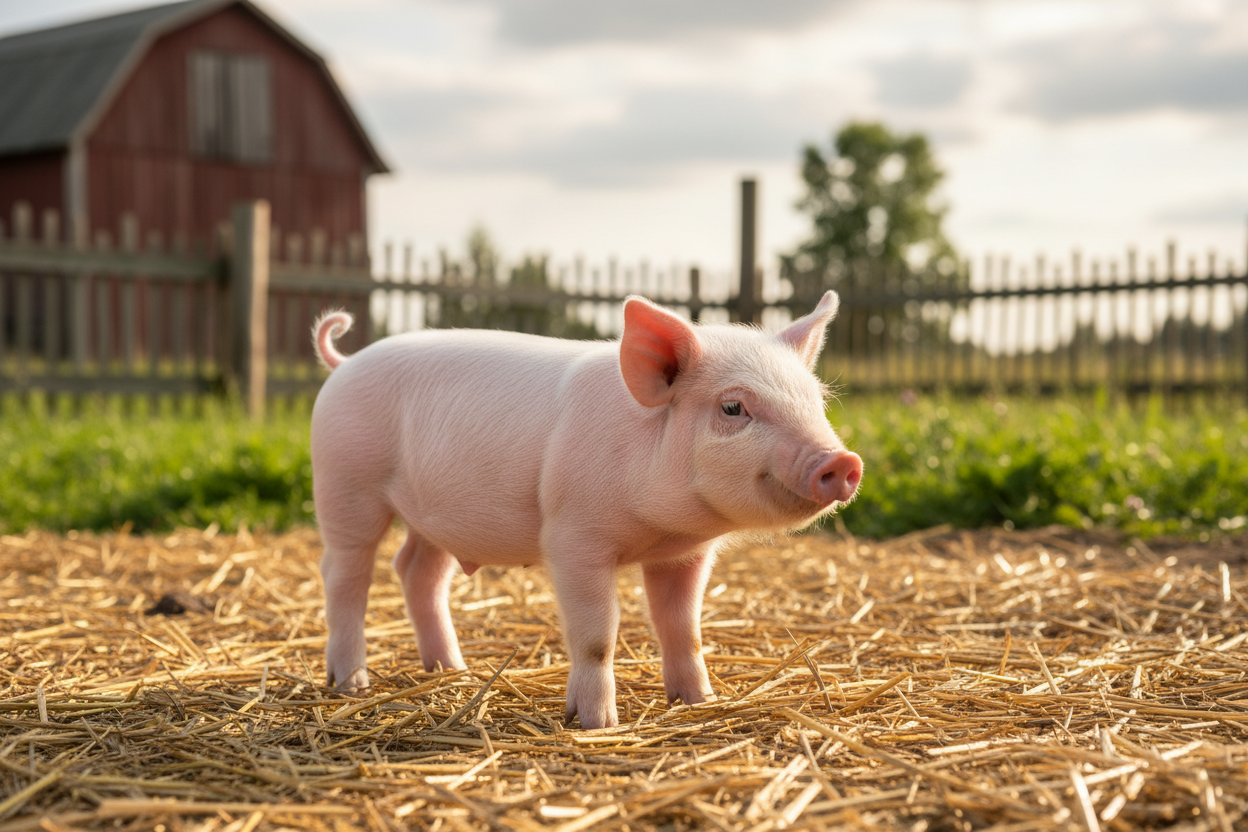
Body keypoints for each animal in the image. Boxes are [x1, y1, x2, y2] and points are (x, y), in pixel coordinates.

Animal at [310, 292, 862, 729]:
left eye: (816, 401)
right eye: (733, 408)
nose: (842, 461)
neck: (659, 527)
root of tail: (344, 363)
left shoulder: (686, 554)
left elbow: (684, 628)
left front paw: (700, 701)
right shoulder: (573, 538)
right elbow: (598, 634)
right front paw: (597, 724)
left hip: (436, 517)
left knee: (416, 571)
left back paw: (452, 670)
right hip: (345, 483)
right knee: (345, 573)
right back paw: (350, 684)